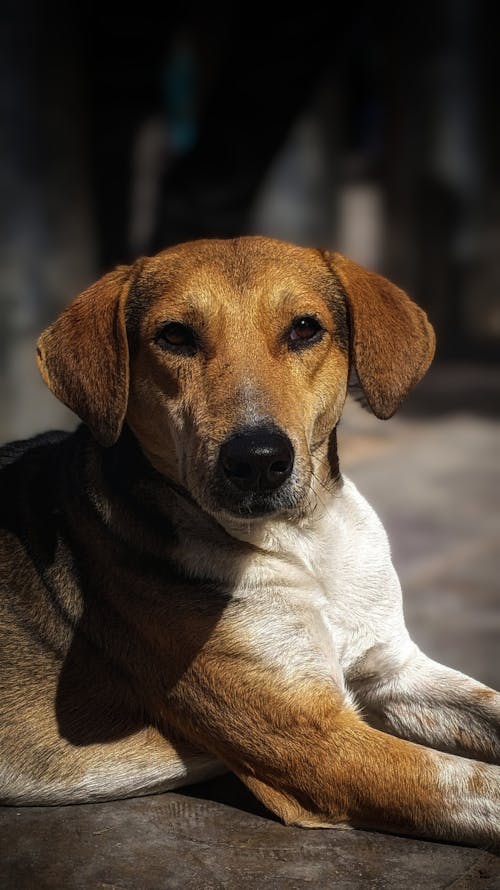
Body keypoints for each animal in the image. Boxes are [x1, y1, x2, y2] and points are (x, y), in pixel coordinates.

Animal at [0, 238, 500, 848]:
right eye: (175, 336)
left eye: (305, 329)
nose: (258, 460)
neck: (302, 542)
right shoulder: (319, 740)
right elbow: (481, 783)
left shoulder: (392, 669)